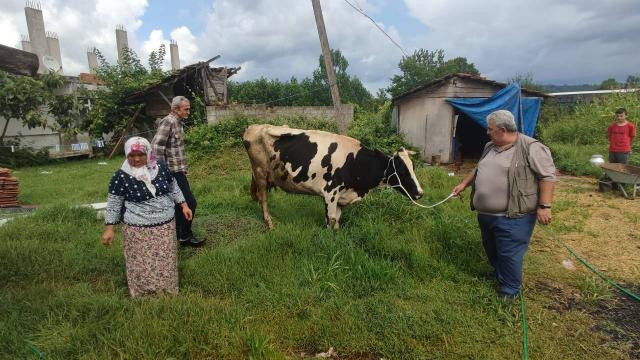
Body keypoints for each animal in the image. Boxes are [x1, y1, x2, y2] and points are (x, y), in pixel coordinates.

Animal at [242, 124, 422, 229]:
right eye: (403, 171)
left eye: (413, 167)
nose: (420, 193)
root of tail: (254, 126)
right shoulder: (330, 192)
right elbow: (332, 219)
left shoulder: (342, 196)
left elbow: (337, 220)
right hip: (260, 172)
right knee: (263, 199)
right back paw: (269, 223)